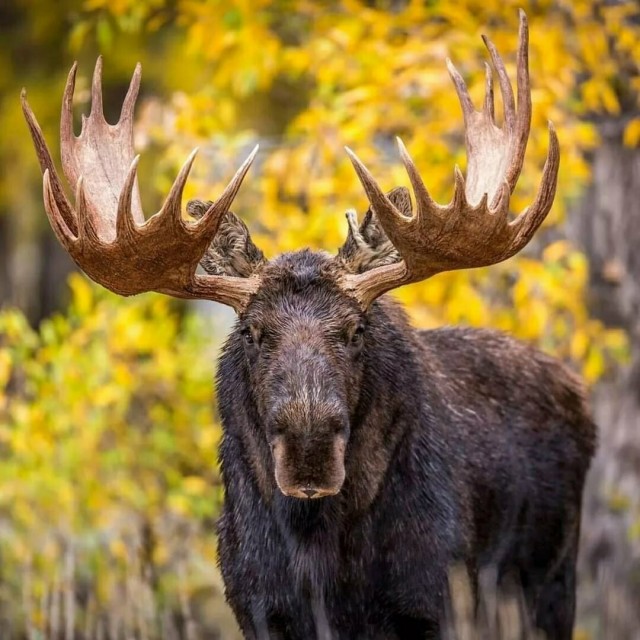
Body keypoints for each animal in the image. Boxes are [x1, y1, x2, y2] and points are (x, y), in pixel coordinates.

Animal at [22, 11, 595, 640]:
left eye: (355, 330)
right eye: (253, 333)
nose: (309, 447)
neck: (319, 551)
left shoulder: (435, 596)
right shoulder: (258, 606)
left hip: (548, 579)